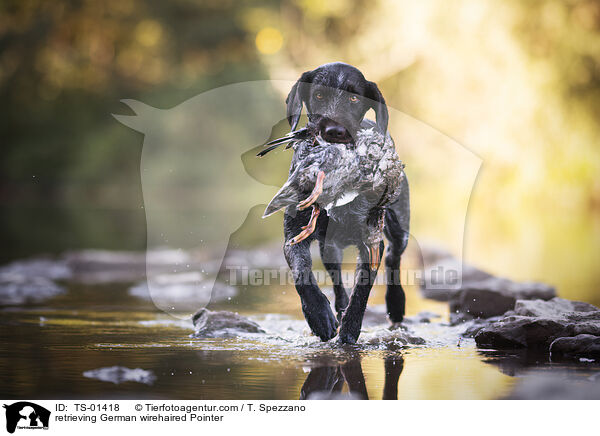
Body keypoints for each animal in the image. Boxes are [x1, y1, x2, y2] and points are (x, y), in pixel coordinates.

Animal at [278, 62, 410, 344]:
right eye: (318, 95)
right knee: (337, 280)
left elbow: (363, 287)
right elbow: (301, 273)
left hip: (398, 228)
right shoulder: (294, 235)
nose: (334, 132)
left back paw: (396, 304)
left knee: (393, 259)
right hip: (329, 248)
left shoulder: (371, 242)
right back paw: (336, 310)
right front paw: (319, 316)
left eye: (354, 98)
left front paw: (350, 328)